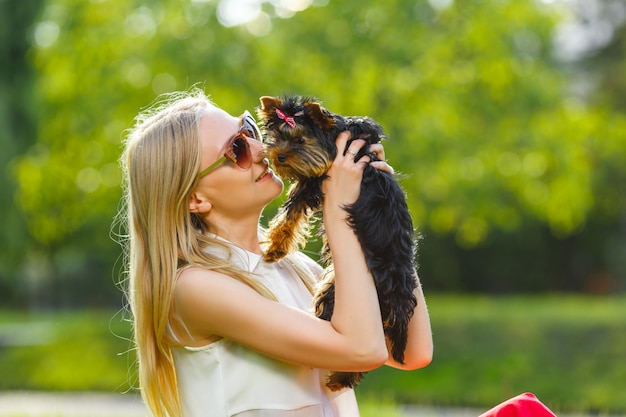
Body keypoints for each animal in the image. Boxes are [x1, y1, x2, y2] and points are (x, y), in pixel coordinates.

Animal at [256, 94, 416, 390]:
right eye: (277, 137)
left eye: (300, 140)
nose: (279, 156)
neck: (332, 137)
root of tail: (397, 297)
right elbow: (293, 210)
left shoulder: (316, 179)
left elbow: (291, 210)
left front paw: (274, 246)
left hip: (339, 293)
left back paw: (337, 379)